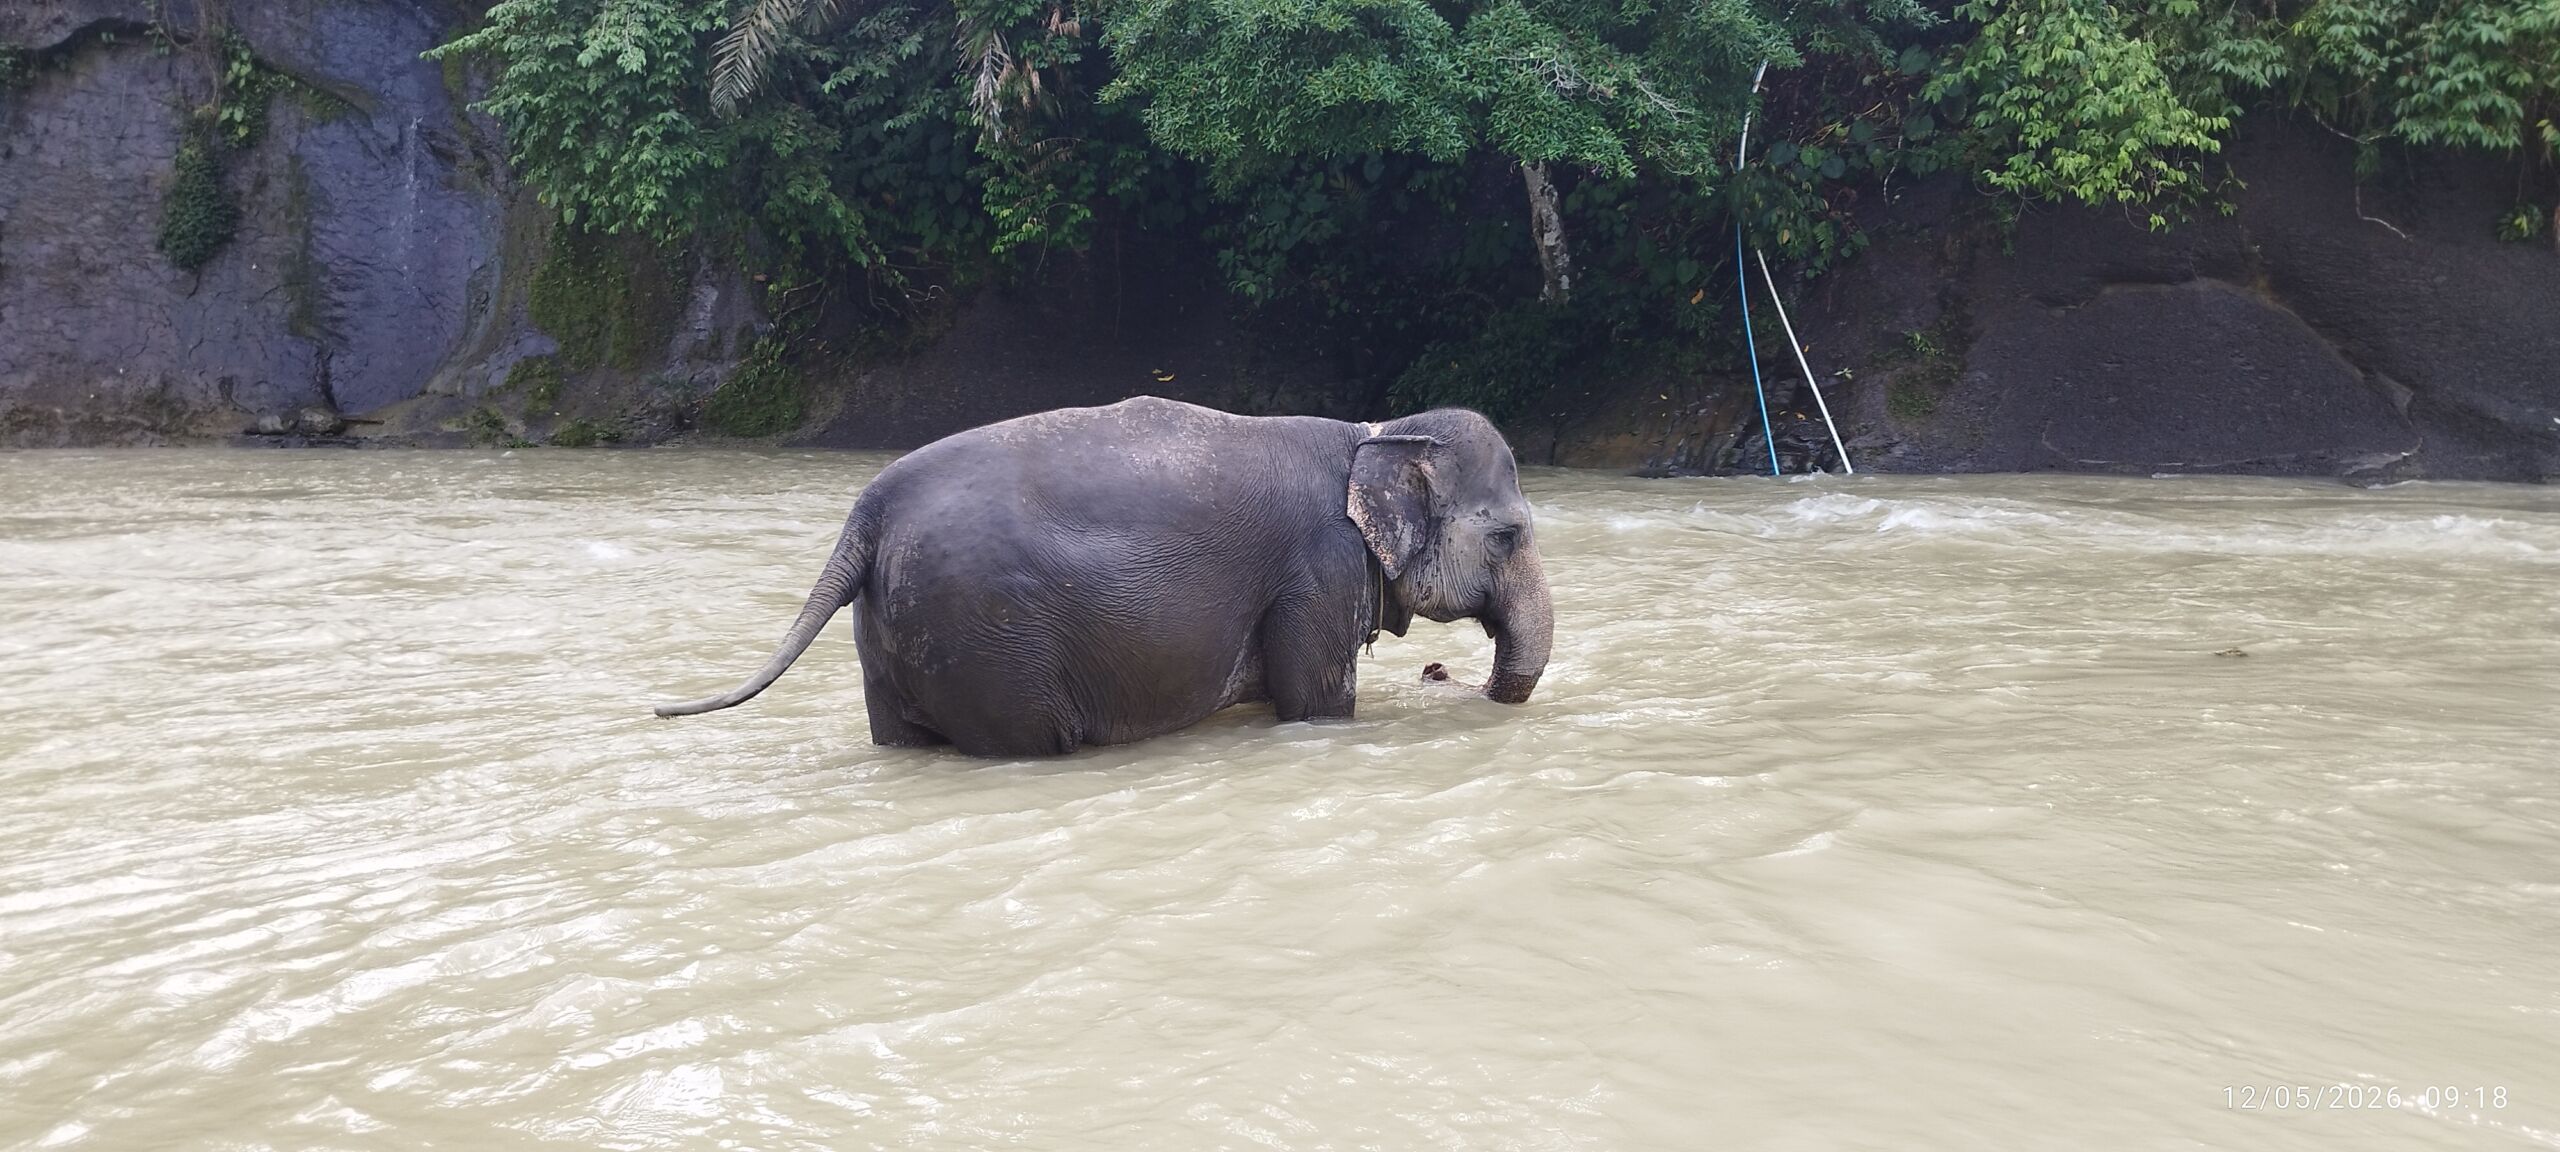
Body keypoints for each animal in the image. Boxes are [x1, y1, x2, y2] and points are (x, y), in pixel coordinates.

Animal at [654, 396, 1554, 757]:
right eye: (1509, 534)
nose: (1456, 680)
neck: (1373, 431)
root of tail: (865, 517)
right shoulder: (1318, 571)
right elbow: (1317, 706)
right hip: (991, 638)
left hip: (894, 633)